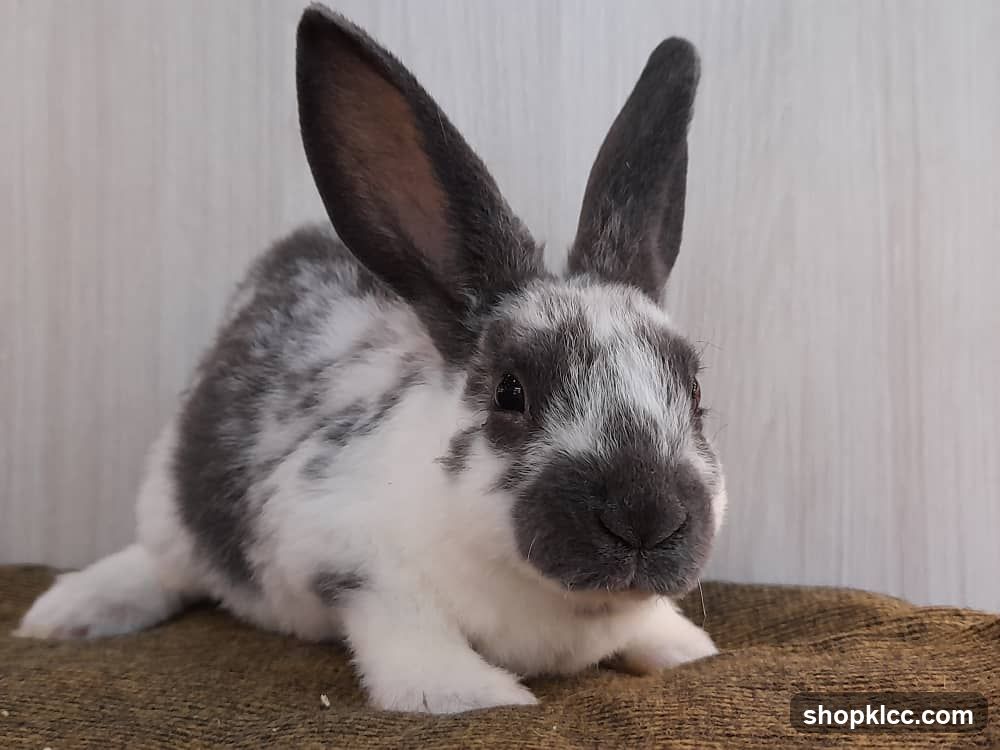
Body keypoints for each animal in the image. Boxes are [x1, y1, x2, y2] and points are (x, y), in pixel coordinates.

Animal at [15, 4, 728, 714]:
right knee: (163, 565)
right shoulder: (348, 558)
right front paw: (469, 695)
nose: (645, 518)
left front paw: (683, 650)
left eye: (694, 392)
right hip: (171, 509)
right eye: (510, 392)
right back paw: (67, 614)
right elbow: (405, 631)